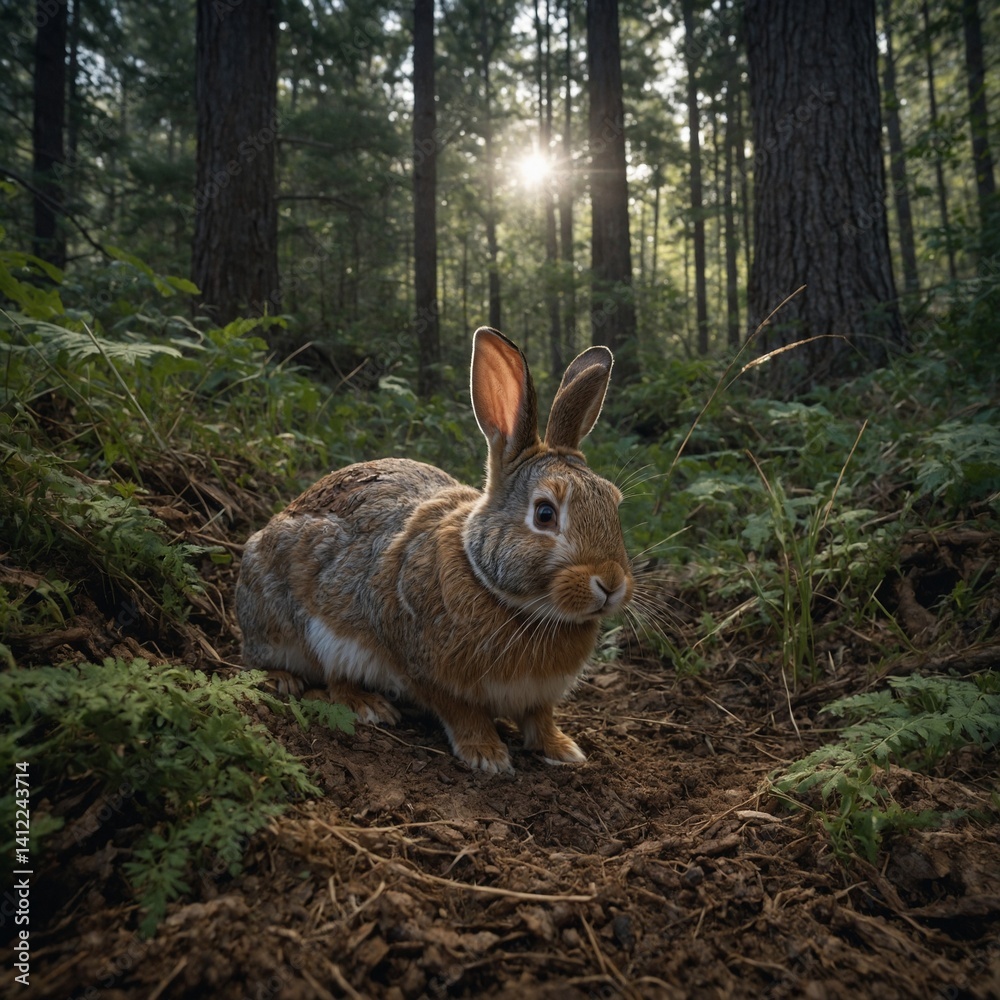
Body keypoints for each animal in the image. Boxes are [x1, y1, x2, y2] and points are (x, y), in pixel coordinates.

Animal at [235, 326, 633, 773]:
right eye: (545, 514)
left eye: (614, 504)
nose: (610, 583)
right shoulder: (428, 672)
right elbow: (462, 712)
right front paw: (487, 755)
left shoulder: (540, 696)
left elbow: (540, 717)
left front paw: (563, 749)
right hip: (295, 621)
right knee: (316, 676)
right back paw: (350, 699)